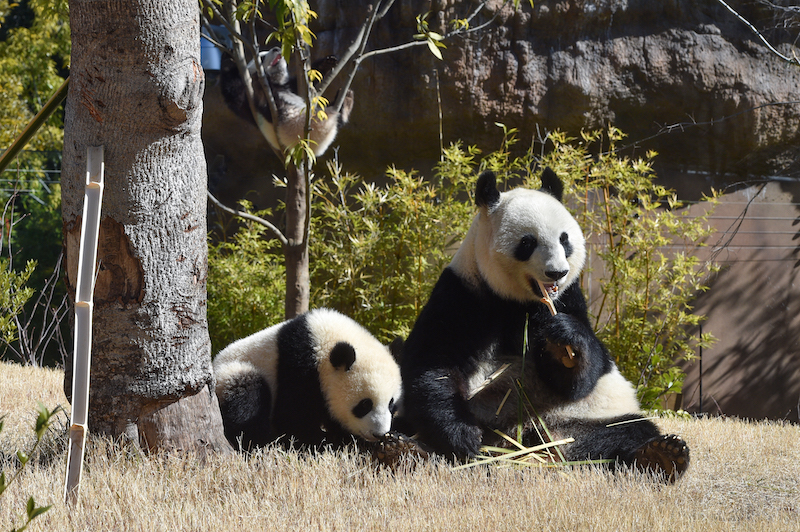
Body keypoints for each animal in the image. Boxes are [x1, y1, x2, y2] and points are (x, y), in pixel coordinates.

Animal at [388, 169, 688, 482]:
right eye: (527, 243)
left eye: (564, 239)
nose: (557, 272)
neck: (517, 300)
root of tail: (528, 442)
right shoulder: (462, 292)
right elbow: (434, 364)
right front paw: (463, 435)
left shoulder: (568, 298)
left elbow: (583, 374)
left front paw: (565, 346)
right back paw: (402, 450)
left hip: (585, 416)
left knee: (627, 430)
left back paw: (662, 455)